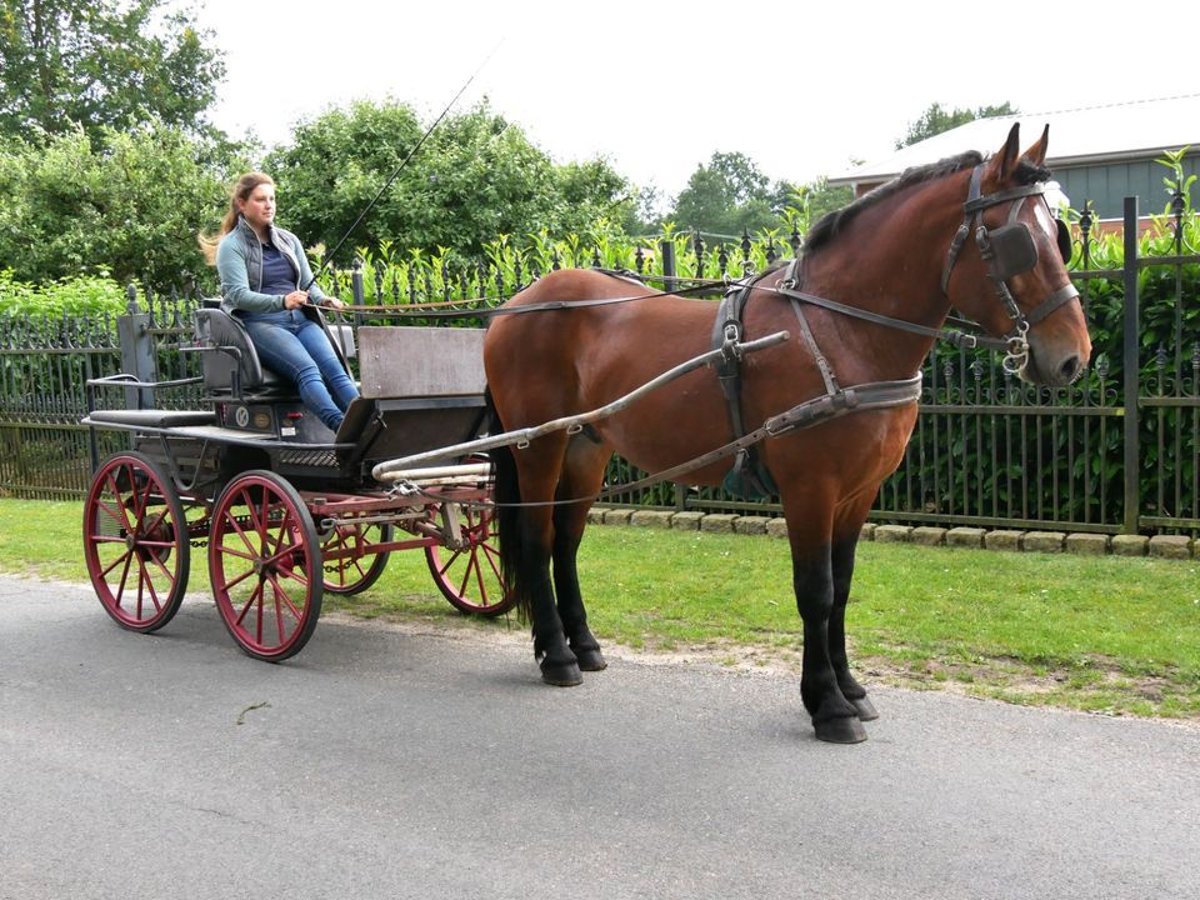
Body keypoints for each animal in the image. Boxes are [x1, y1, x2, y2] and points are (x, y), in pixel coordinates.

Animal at [477, 127, 1089, 748]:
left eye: (1058, 237)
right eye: (1019, 242)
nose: (1073, 358)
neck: (839, 330)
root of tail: (518, 303)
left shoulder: (858, 492)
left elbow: (842, 587)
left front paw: (852, 689)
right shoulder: (810, 488)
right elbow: (816, 590)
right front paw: (829, 705)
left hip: (587, 447)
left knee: (566, 542)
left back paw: (582, 644)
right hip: (539, 445)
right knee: (535, 538)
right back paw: (556, 656)